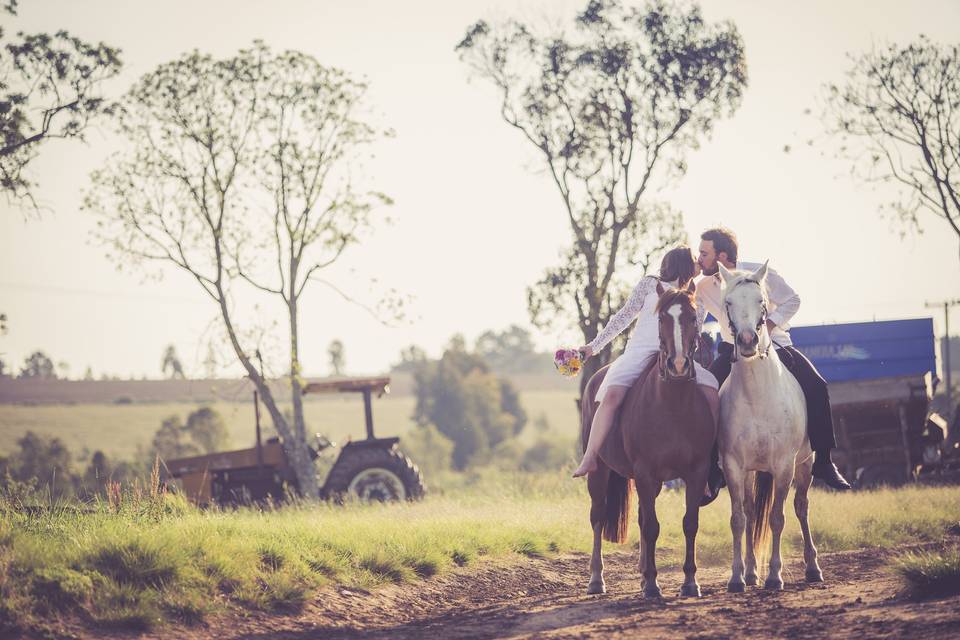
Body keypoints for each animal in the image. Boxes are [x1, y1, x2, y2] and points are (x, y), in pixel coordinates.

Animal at [580, 282, 716, 596]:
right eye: (662, 318)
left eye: (693, 318)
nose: (678, 365)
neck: (672, 404)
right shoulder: (645, 471)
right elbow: (653, 527)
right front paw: (653, 585)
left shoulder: (696, 472)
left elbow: (689, 523)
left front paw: (690, 582)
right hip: (600, 472)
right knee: (597, 515)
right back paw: (597, 579)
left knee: (642, 517)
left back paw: (642, 574)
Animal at [716, 262, 820, 592]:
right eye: (728, 303)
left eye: (761, 301)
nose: (748, 341)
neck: (757, 395)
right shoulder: (734, 465)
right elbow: (738, 519)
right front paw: (737, 577)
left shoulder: (784, 465)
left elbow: (777, 517)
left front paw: (775, 576)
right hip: (751, 471)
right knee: (751, 513)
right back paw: (751, 573)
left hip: (806, 463)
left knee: (801, 506)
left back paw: (813, 567)